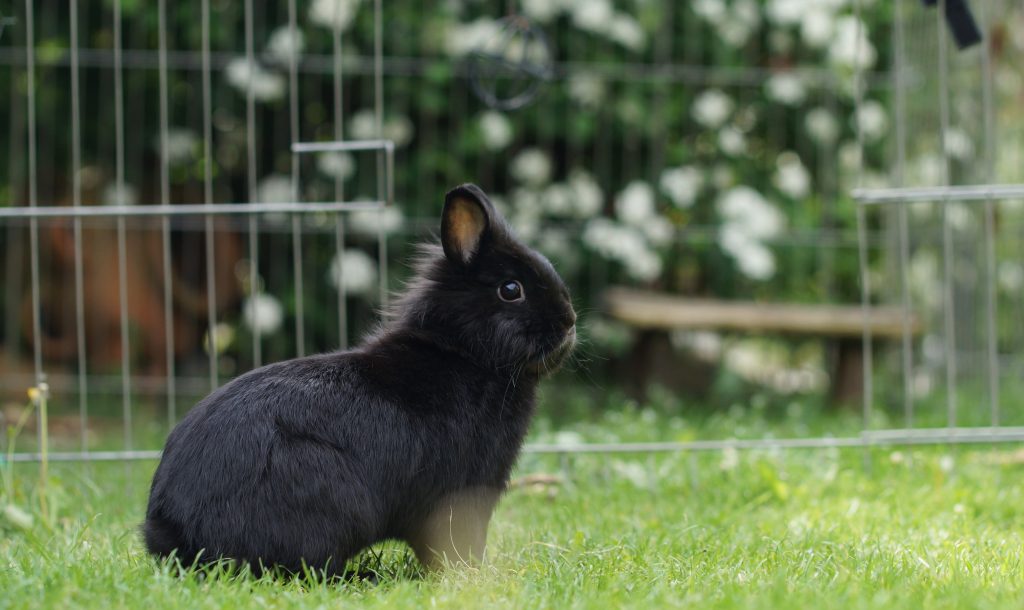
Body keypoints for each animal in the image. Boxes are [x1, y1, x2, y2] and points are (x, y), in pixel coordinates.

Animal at [143, 183, 577, 573]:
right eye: (511, 289)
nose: (569, 322)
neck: (466, 353)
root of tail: (175, 529)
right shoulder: (463, 494)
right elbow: (456, 544)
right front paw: (475, 575)